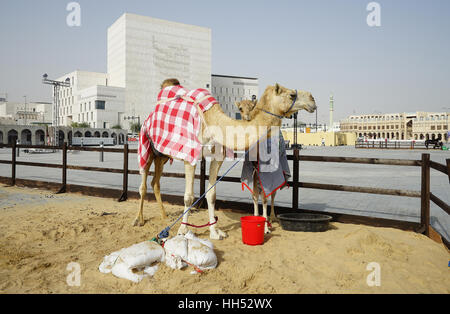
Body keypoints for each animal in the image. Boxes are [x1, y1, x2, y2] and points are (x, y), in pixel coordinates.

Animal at [135, 82, 314, 239]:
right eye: (291, 95)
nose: (312, 100)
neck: (213, 121)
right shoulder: (189, 157)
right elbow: (189, 197)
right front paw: (182, 230)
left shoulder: (217, 158)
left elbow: (211, 195)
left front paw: (215, 232)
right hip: (146, 147)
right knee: (143, 184)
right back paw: (139, 219)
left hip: (162, 156)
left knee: (155, 182)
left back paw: (164, 216)